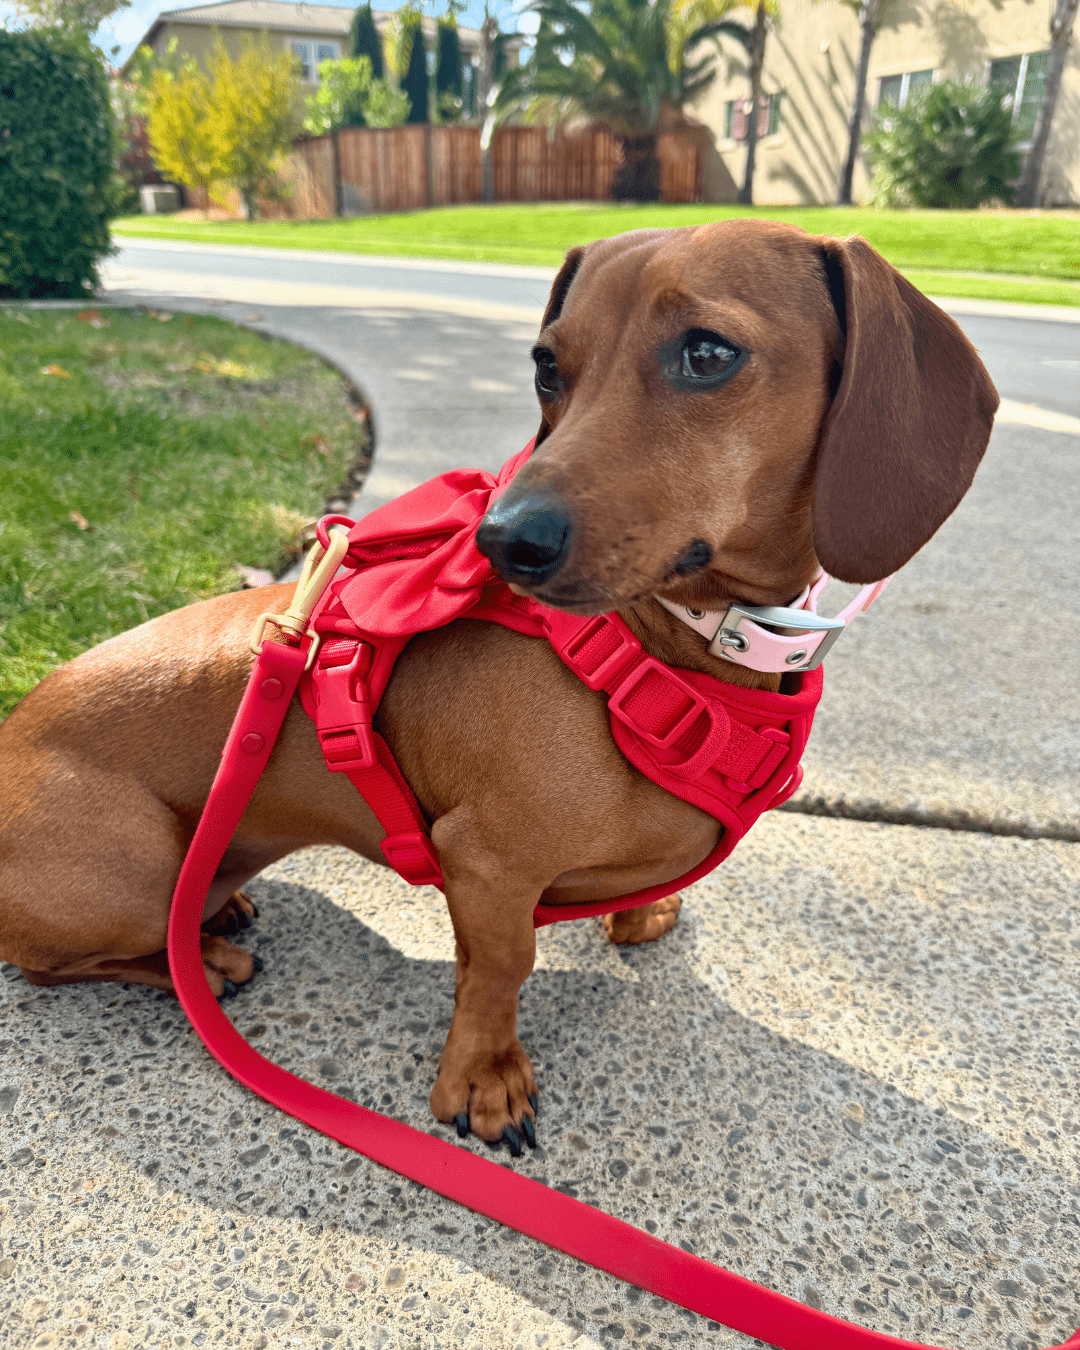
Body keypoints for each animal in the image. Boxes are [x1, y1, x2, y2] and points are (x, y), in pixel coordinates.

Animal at [0, 221, 993, 1150]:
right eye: (547, 366)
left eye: (709, 353)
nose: (503, 540)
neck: (665, 644)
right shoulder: (483, 862)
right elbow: (503, 966)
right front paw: (484, 1080)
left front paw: (638, 914)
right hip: (132, 873)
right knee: (59, 963)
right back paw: (203, 962)